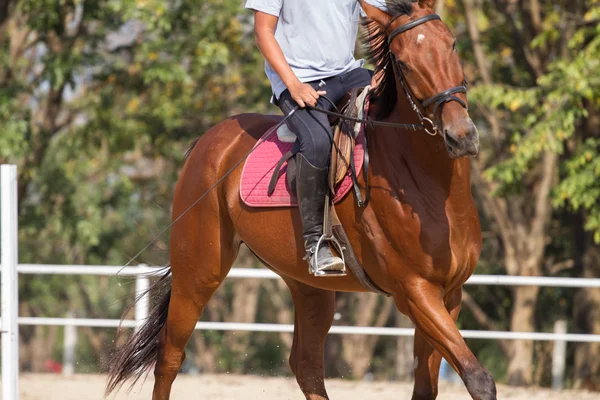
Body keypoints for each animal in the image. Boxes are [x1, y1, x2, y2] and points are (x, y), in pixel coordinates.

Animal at [106, 0, 496, 400]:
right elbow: (478, 379)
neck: (426, 185)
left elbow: (427, 387)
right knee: (170, 356)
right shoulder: (415, 292)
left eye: (452, 45)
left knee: (306, 366)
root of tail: (208, 140)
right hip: (197, 273)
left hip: (308, 287)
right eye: (402, 63)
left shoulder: (449, 294)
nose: (462, 136)